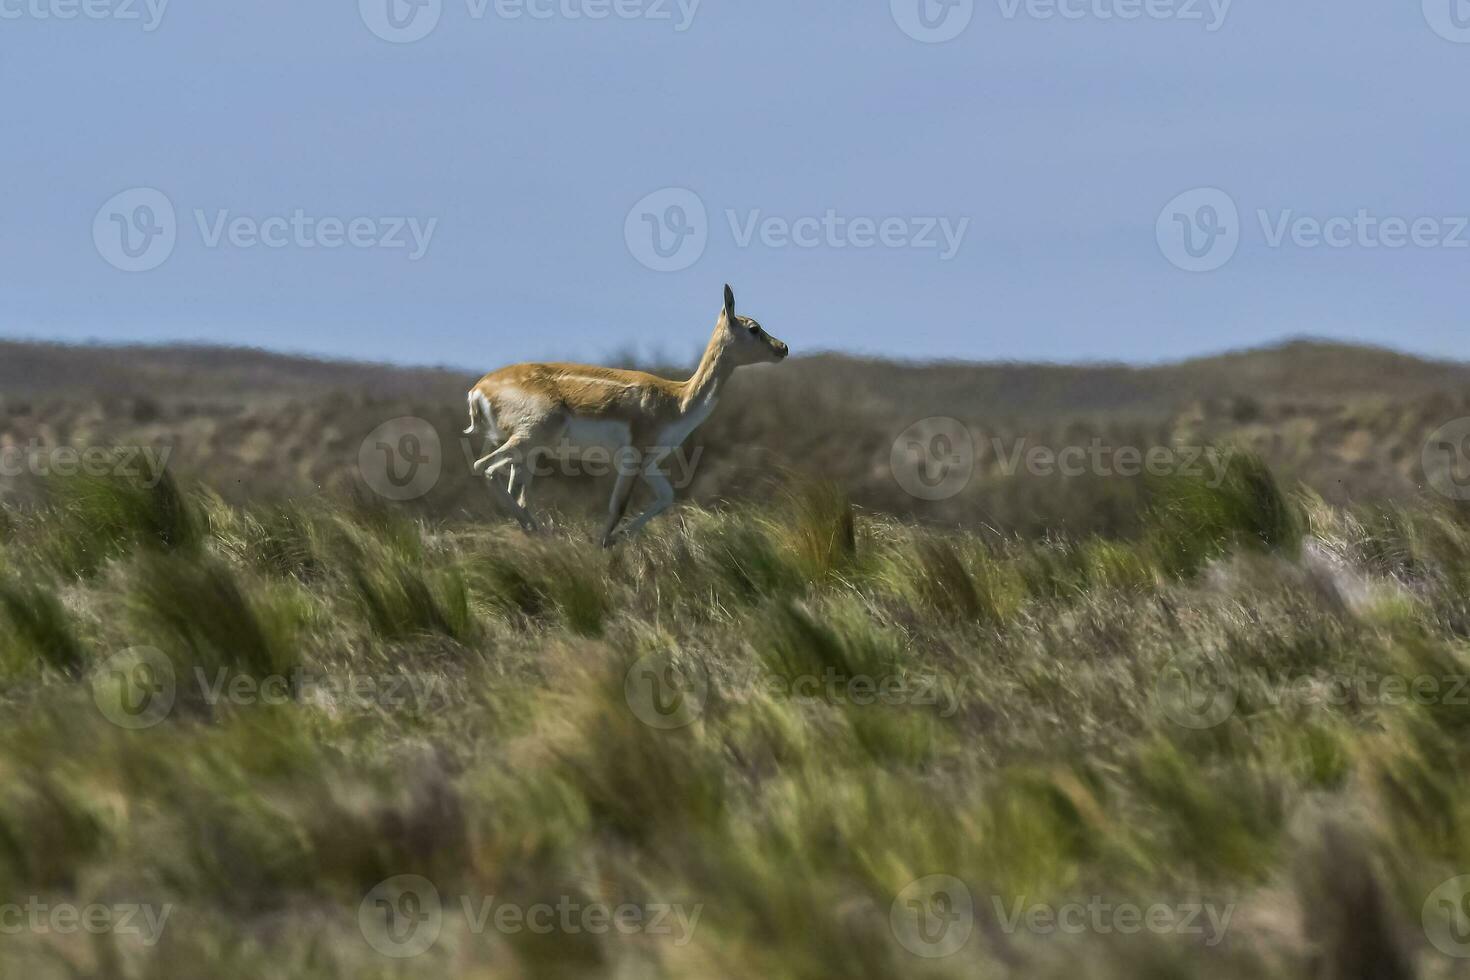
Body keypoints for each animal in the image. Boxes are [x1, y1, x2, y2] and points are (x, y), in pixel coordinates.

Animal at [467, 283, 793, 549]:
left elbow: (667, 497)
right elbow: (618, 506)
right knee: (484, 467)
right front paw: (603, 544)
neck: (677, 400)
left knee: (515, 490)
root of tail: (478, 389)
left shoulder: (649, 464)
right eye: (754, 328)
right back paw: (539, 530)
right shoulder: (632, 459)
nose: (783, 347)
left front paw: (616, 539)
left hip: (530, 452)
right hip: (530, 439)